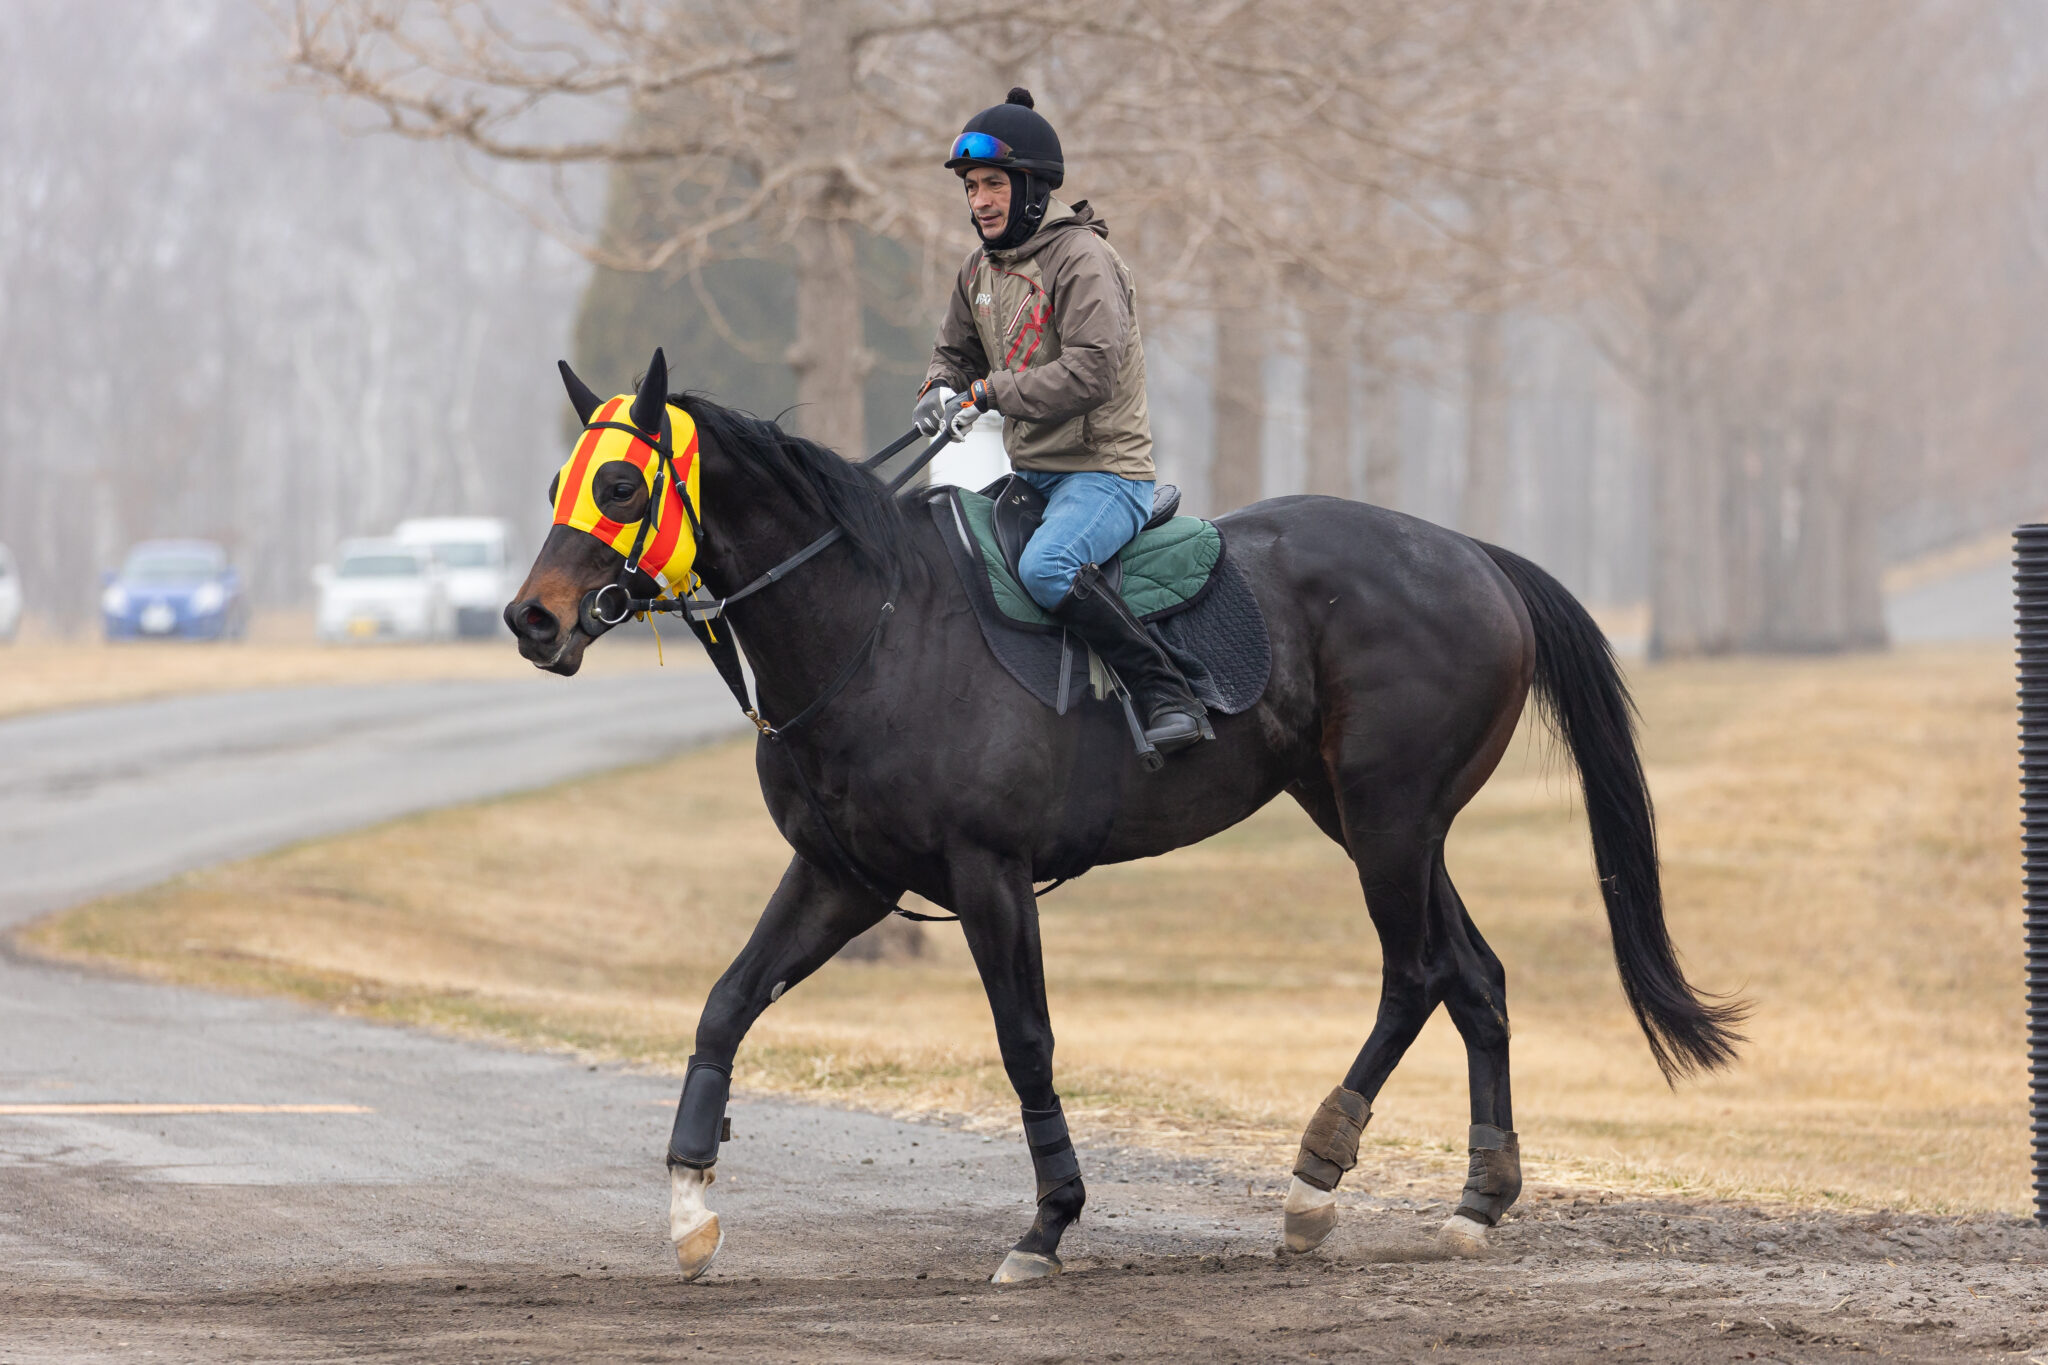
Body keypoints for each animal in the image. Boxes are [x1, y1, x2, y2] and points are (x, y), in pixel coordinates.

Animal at [503, 349, 1736, 1285]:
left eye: (621, 489)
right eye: (562, 476)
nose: (531, 619)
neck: (881, 624)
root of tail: (1472, 555)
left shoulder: (988, 873)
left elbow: (1026, 1042)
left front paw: (1048, 1222)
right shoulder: (842, 875)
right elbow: (724, 1006)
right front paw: (688, 1205)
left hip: (1388, 823)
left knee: (1418, 971)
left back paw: (1314, 1178)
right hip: (1371, 819)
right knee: (1472, 975)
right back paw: (1476, 1196)